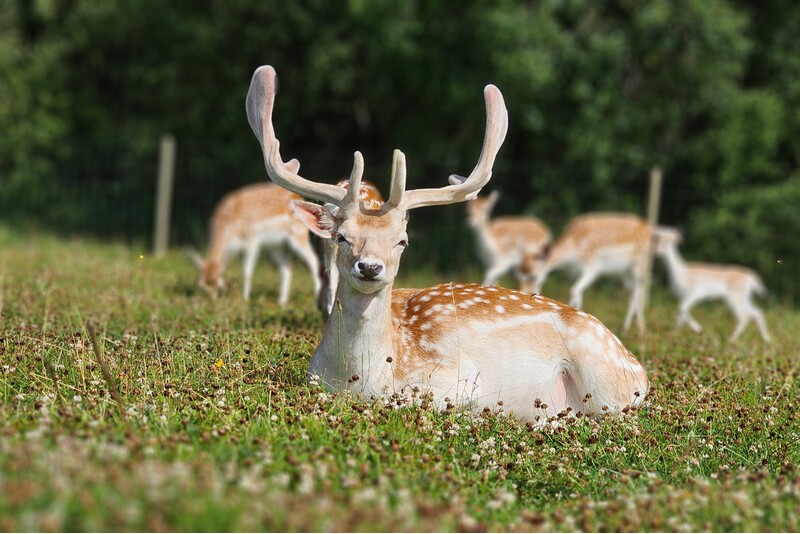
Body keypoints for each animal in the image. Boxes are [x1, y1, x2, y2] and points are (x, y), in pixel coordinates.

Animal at [188, 182, 322, 306]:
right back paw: (281, 302)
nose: (213, 302)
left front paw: (245, 300)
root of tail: (299, 197)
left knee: (313, 259)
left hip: (298, 235)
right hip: (275, 246)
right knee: (287, 266)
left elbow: (247, 271)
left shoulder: (252, 239)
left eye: (219, 286)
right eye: (202, 286)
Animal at [247, 67, 648, 426]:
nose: (370, 267)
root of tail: (642, 372)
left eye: (402, 241)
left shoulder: (451, 378)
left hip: (606, 381)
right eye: (341, 236)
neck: (358, 380)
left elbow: (410, 401)